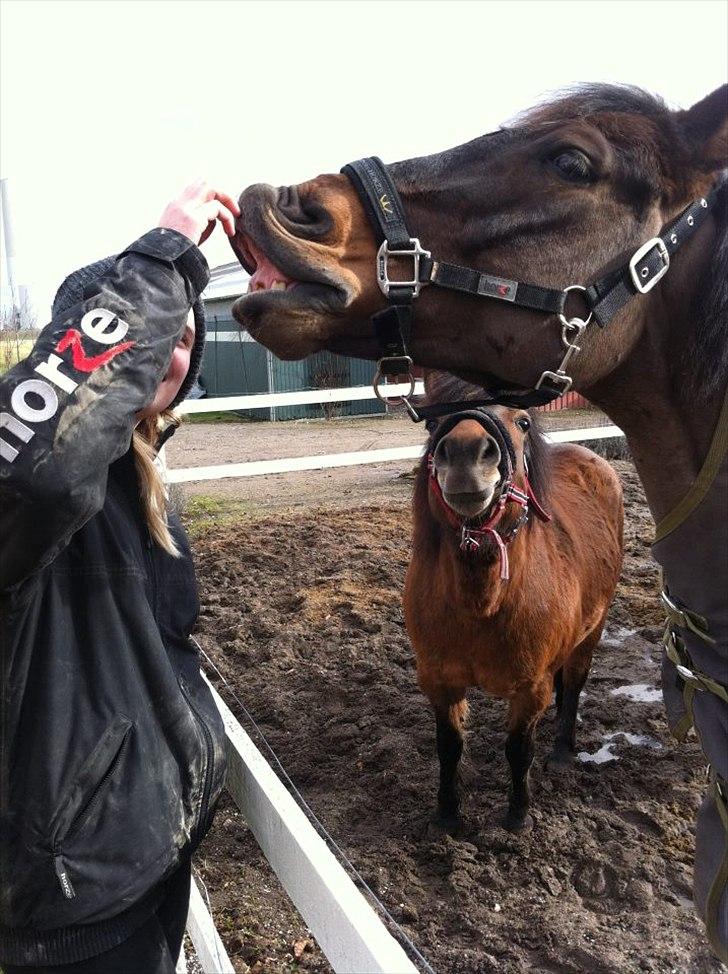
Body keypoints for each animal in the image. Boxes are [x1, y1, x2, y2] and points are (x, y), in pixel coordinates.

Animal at [400, 374, 624, 832]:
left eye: (522, 421)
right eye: (432, 424)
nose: (466, 451)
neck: (482, 603)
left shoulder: (530, 688)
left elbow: (519, 751)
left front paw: (518, 816)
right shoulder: (438, 680)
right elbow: (448, 746)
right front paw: (446, 815)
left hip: (592, 631)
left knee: (575, 682)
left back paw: (563, 748)